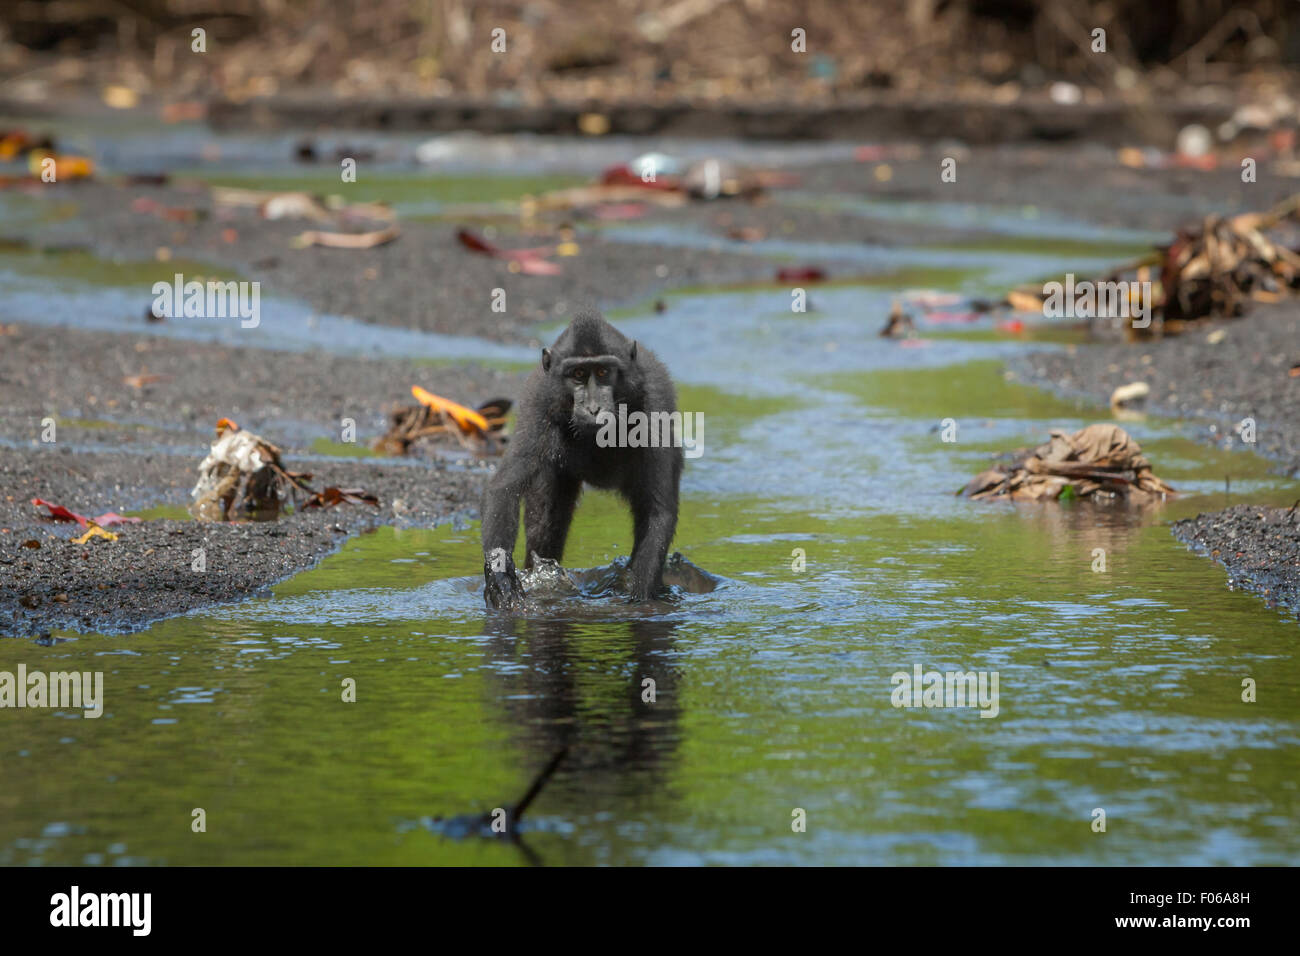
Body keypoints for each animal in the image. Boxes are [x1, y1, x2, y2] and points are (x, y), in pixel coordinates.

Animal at [481, 311, 683, 609]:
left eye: (602, 373)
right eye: (577, 374)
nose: (593, 408)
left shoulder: (654, 403)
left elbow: (657, 511)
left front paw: (640, 601)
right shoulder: (539, 401)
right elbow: (504, 486)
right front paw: (501, 578)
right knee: (547, 518)